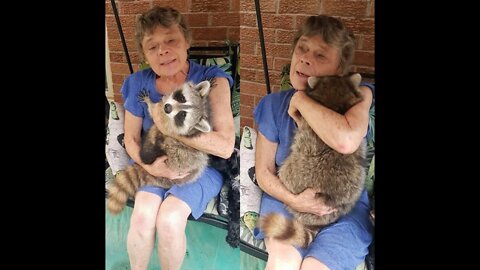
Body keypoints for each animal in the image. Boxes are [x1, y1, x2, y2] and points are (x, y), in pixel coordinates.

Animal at [109, 80, 214, 215]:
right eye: (182, 98)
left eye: (182, 115)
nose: (167, 107)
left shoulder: (162, 119)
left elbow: (153, 111)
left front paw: (148, 102)